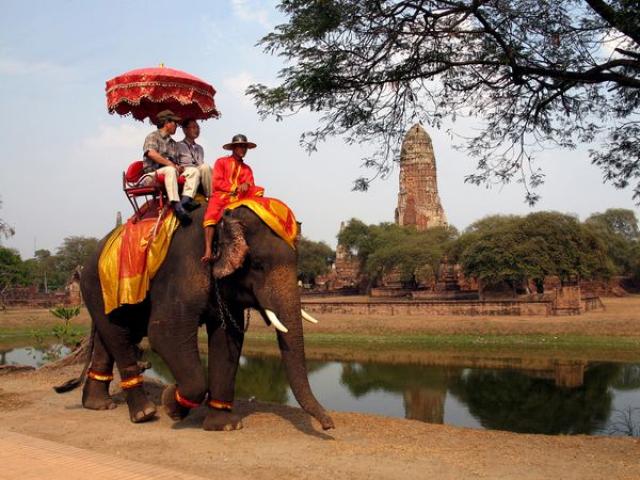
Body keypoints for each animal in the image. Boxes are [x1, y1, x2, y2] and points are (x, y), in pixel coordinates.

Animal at [65, 206, 336, 432]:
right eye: (258, 265)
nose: (328, 425)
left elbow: (228, 338)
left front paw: (224, 426)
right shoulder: (181, 271)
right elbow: (164, 334)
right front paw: (171, 403)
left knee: (110, 337)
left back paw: (99, 404)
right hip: (97, 286)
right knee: (117, 335)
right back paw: (144, 413)